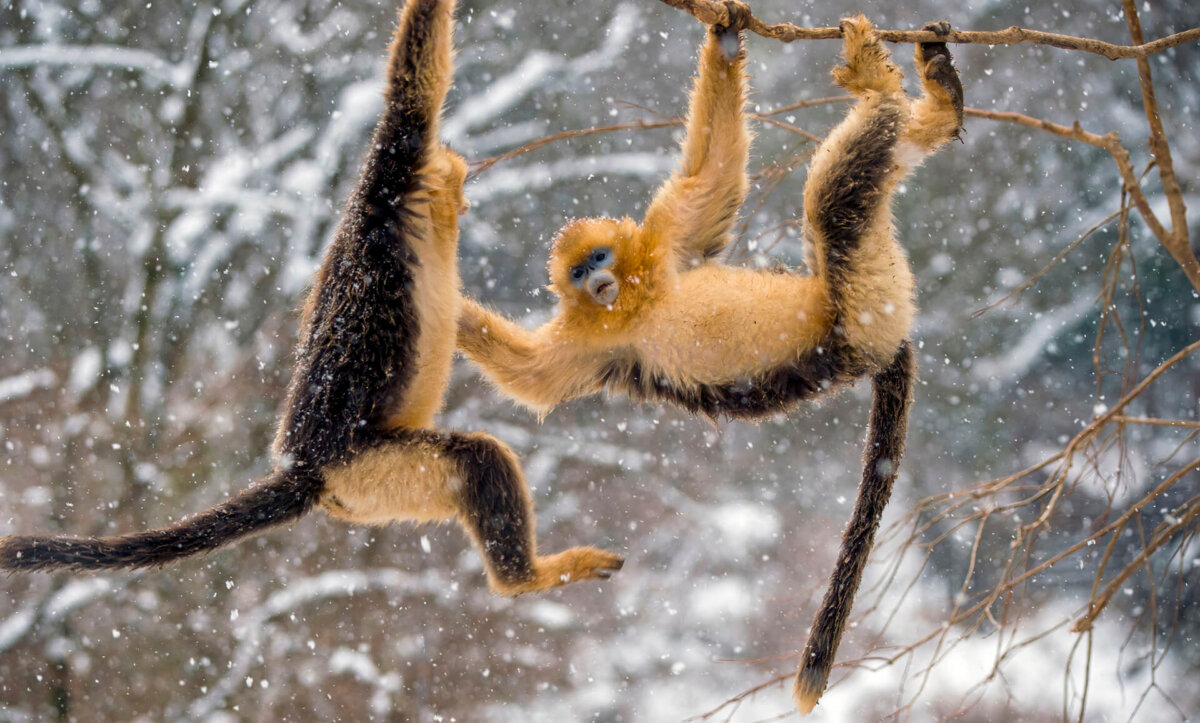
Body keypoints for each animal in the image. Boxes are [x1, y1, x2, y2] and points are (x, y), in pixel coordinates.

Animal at [0, 0, 619, 595]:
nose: (465, 194)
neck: (389, 201)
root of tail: (306, 470)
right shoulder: (398, 167)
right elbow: (415, 75)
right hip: (372, 469)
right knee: (477, 461)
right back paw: (526, 578)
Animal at [458, 9, 964, 710]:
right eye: (579, 272)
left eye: (599, 259)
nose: (595, 282)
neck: (634, 304)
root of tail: (885, 346)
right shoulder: (590, 342)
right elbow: (533, 381)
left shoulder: (668, 242)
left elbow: (716, 171)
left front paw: (725, 32)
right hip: (870, 303)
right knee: (842, 198)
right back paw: (917, 96)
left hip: (868, 299)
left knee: (837, 194)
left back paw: (904, 90)